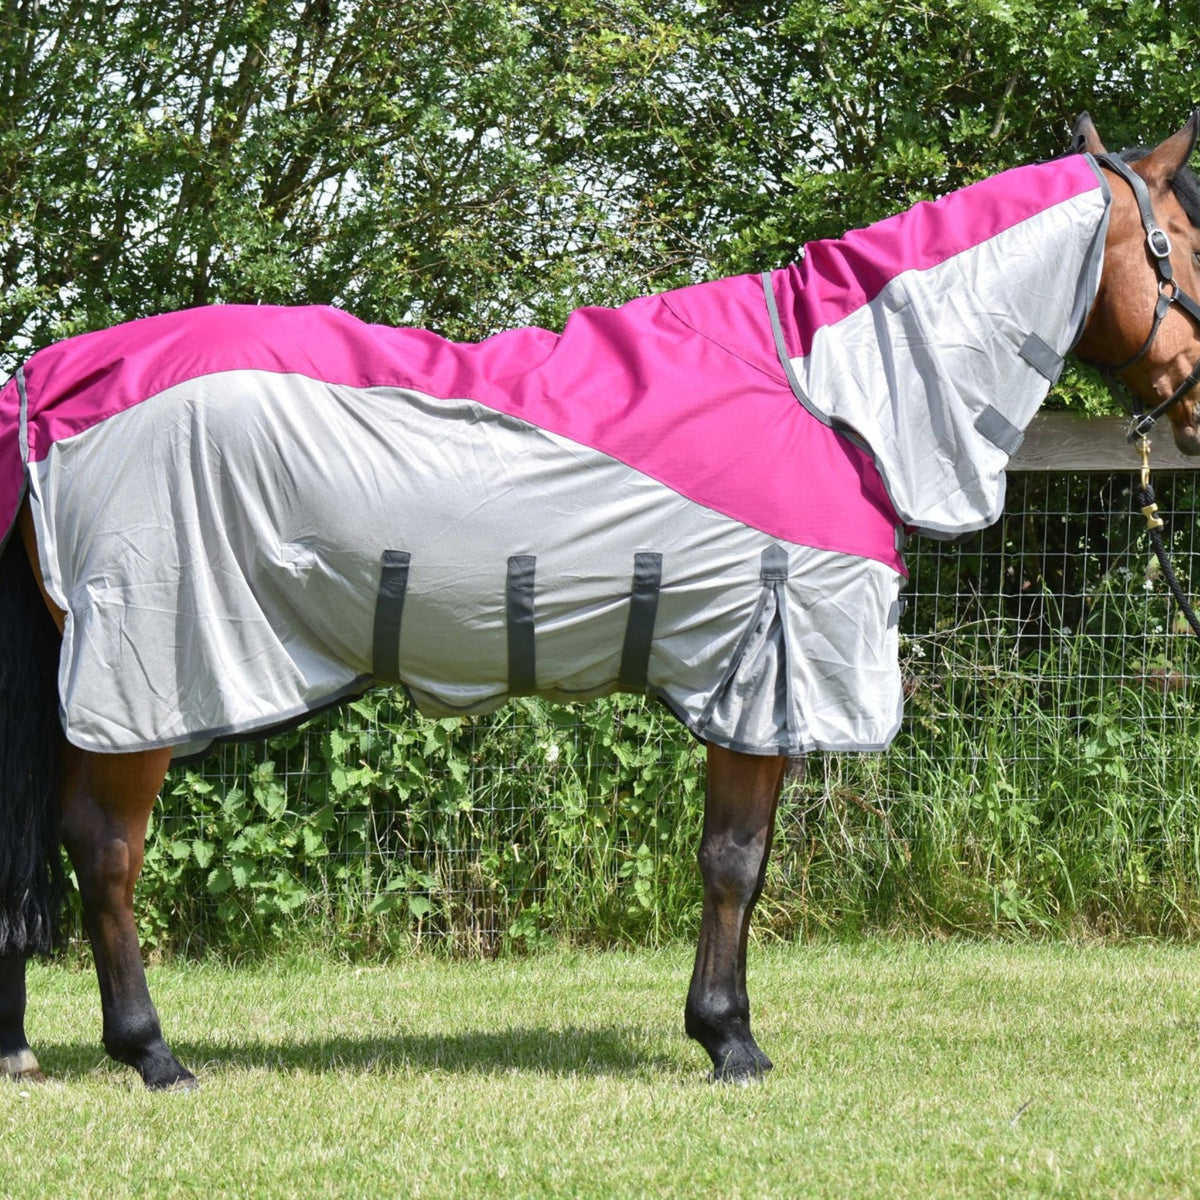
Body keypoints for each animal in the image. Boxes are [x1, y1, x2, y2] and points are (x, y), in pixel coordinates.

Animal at [2, 113, 1200, 1091]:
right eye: (1181, 242)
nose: (1194, 408)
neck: (829, 392)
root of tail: (47, 388)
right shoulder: (762, 669)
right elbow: (734, 862)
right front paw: (729, 1039)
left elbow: (738, 860)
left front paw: (722, 1028)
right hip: (145, 678)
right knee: (106, 851)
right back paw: (151, 1053)